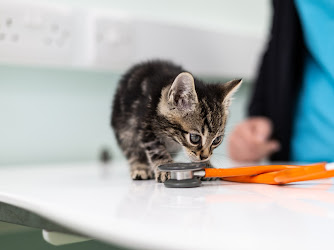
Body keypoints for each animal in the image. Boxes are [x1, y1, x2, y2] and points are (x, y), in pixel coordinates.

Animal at [111, 60, 241, 182]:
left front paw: (206, 167)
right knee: (131, 149)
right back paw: (140, 167)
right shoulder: (144, 125)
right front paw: (166, 168)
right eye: (195, 138)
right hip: (124, 128)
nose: (204, 157)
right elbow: (156, 149)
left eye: (217, 140)